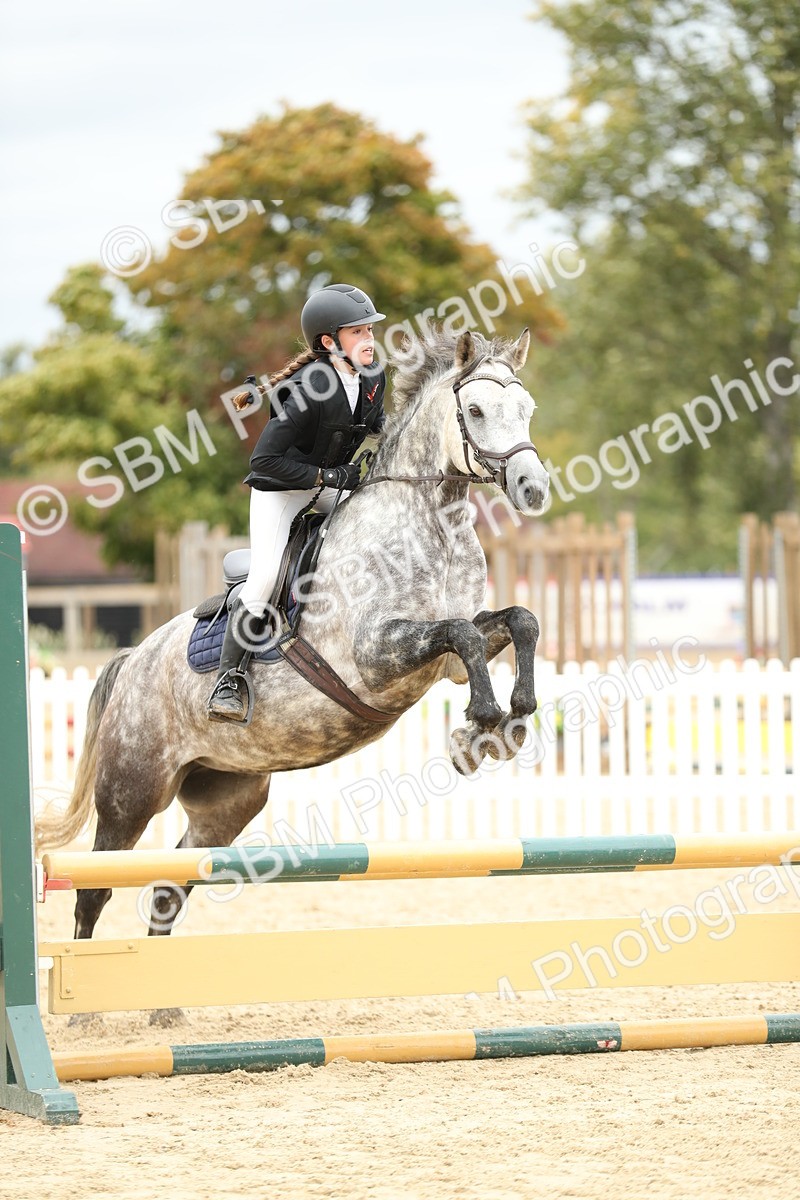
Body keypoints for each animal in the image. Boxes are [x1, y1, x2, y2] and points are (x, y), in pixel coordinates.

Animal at [37, 326, 550, 970]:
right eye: (476, 411)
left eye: (527, 408)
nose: (533, 489)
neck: (430, 524)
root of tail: (134, 661)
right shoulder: (374, 657)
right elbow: (460, 632)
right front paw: (481, 725)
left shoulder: (449, 663)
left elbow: (516, 622)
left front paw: (507, 724)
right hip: (132, 791)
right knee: (95, 889)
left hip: (227, 798)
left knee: (170, 888)